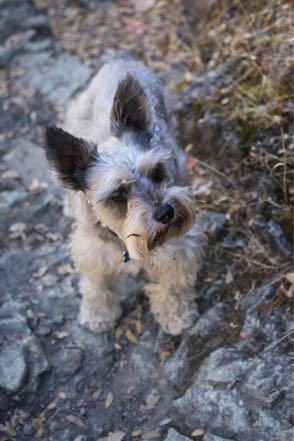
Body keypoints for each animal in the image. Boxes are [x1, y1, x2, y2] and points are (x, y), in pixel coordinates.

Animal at [43, 56, 204, 336]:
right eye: (118, 193)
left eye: (157, 171)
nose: (166, 212)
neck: (123, 237)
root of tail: (121, 58)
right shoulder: (93, 249)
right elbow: (97, 283)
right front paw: (98, 313)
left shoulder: (175, 250)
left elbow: (172, 283)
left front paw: (175, 314)